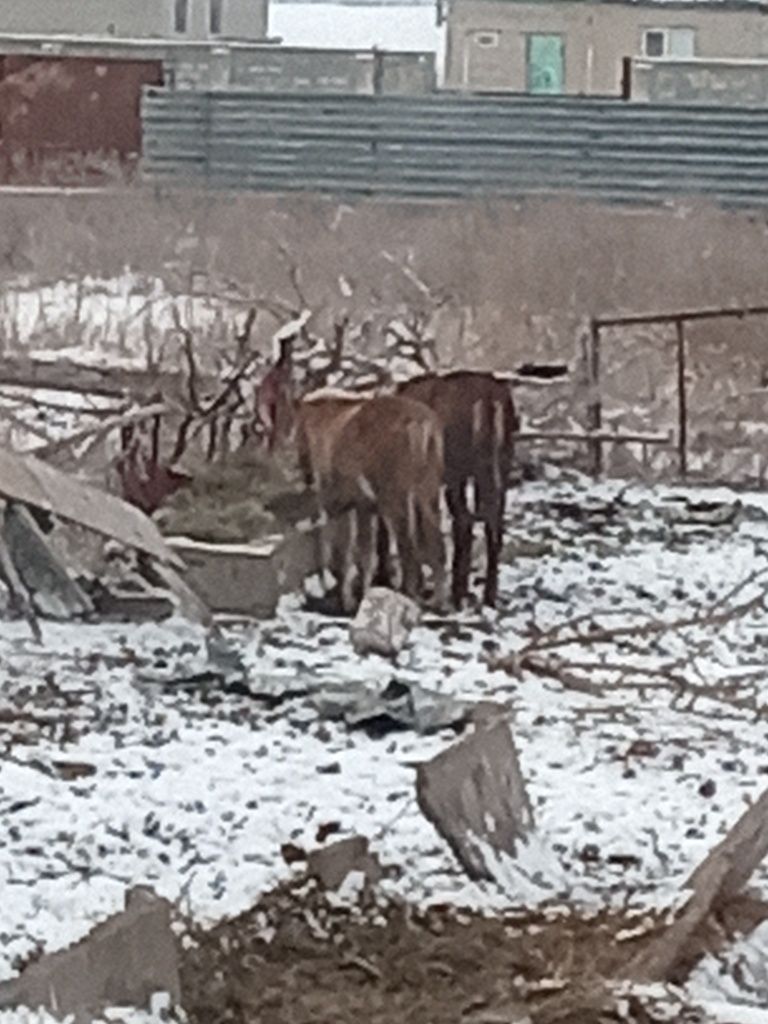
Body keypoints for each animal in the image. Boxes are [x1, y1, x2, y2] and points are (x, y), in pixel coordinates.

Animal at [399, 368, 520, 606]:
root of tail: (489, 400)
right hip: (500, 463)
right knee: (492, 522)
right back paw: (487, 595)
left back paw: (458, 591)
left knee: (464, 519)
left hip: (458, 466)